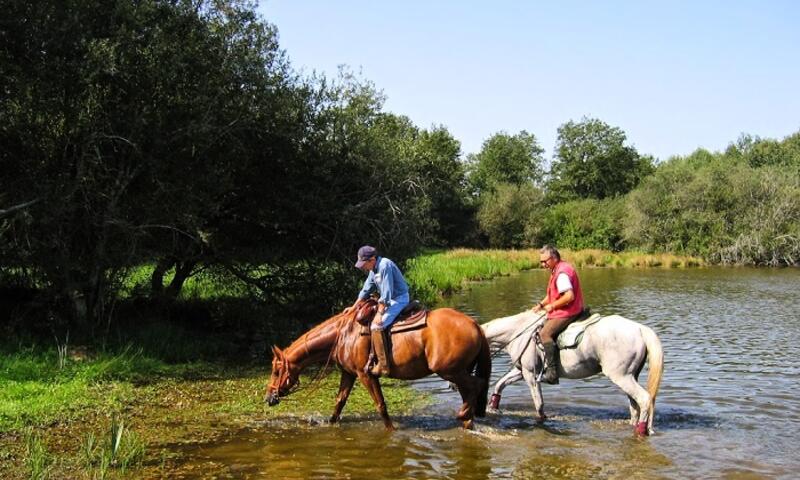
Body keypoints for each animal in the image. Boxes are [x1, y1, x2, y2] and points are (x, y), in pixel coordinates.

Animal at [266, 302, 490, 430]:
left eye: (276, 371)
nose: (268, 397)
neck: (343, 334)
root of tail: (475, 325)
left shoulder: (366, 375)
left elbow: (381, 405)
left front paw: (391, 431)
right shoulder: (348, 373)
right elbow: (339, 402)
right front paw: (330, 424)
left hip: (449, 370)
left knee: (476, 385)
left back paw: (462, 415)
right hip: (459, 371)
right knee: (468, 391)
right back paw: (467, 420)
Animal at [482, 310, 664, 436]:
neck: (518, 333)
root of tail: (640, 329)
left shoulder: (530, 375)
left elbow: (539, 404)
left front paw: (542, 423)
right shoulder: (522, 371)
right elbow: (500, 384)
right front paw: (493, 407)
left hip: (621, 376)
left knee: (644, 399)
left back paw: (641, 431)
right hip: (631, 376)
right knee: (635, 405)